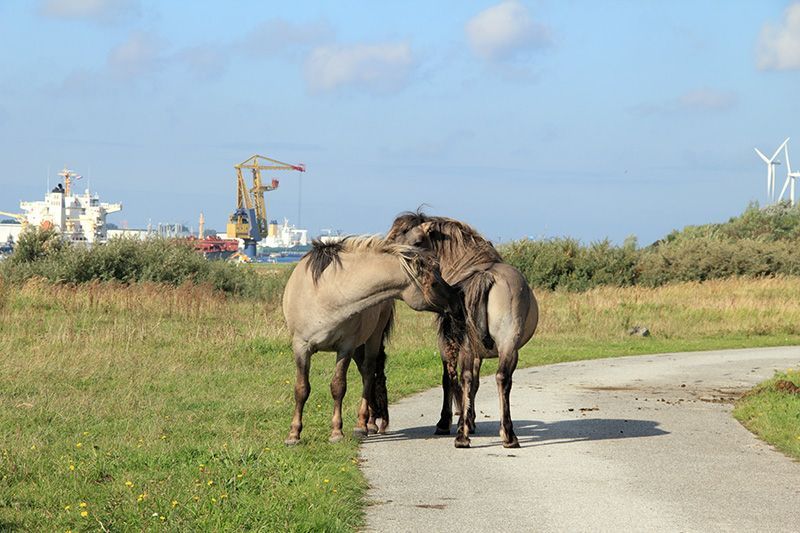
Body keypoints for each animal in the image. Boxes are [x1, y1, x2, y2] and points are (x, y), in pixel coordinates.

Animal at [282, 235, 456, 442]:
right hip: (359, 347)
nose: (457, 300)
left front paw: (336, 432)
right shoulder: (301, 347)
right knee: (365, 372)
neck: (325, 294)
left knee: (368, 374)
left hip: (372, 339)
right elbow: (301, 389)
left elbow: (338, 387)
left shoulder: (345, 347)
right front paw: (294, 434)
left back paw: (365, 424)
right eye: (434, 283)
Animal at [386, 214, 540, 446]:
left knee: (468, 377)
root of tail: (486, 276)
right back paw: (504, 434)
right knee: (498, 378)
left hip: (478, 344)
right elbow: (470, 382)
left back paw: (465, 436)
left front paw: (453, 422)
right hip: (504, 345)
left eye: (417, 242)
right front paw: (466, 421)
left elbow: (454, 379)